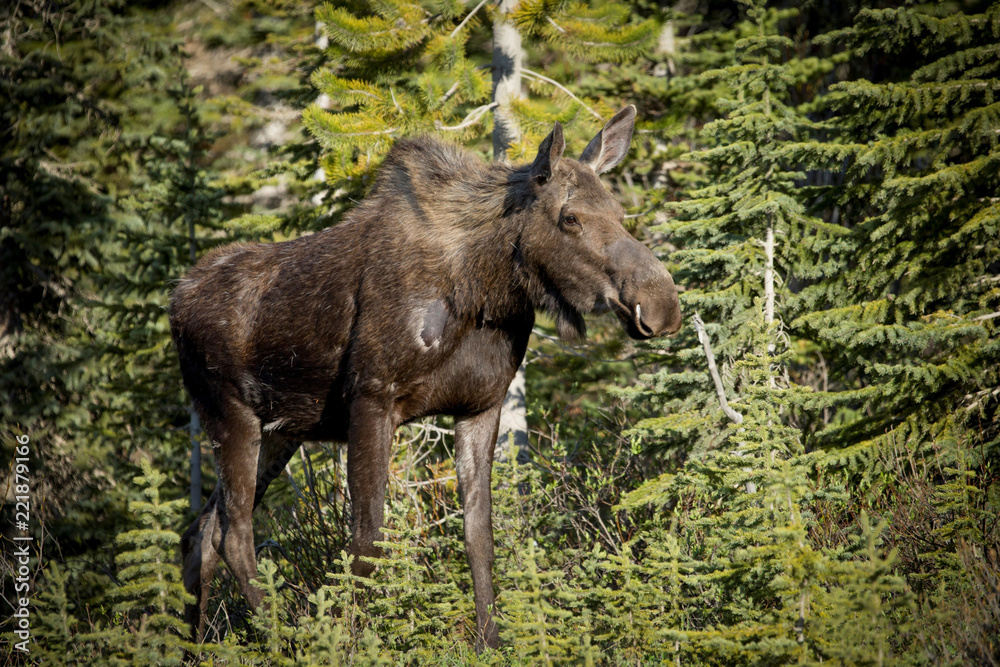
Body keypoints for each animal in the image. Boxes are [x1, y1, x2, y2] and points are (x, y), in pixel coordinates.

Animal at [170, 106, 681, 651]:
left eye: (620, 213)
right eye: (570, 217)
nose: (662, 303)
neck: (487, 288)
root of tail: (175, 303)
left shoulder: (481, 406)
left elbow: (479, 536)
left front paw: (489, 642)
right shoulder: (372, 398)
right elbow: (368, 540)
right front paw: (357, 641)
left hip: (282, 429)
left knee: (199, 531)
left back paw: (194, 647)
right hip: (230, 413)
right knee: (232, 531)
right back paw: (287, 637)